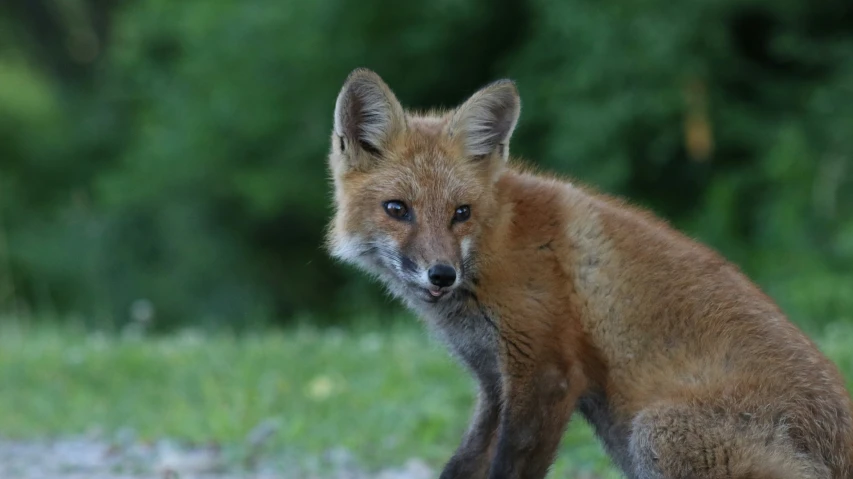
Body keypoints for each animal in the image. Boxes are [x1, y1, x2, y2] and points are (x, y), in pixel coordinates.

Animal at [322, 68, 852, 479]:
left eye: (461, 213)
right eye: (398, 209)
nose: (441, 274)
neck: (496, 246)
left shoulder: (547, 373)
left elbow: (509, 467)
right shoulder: (494, 383)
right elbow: (462, 464)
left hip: (656, 431)